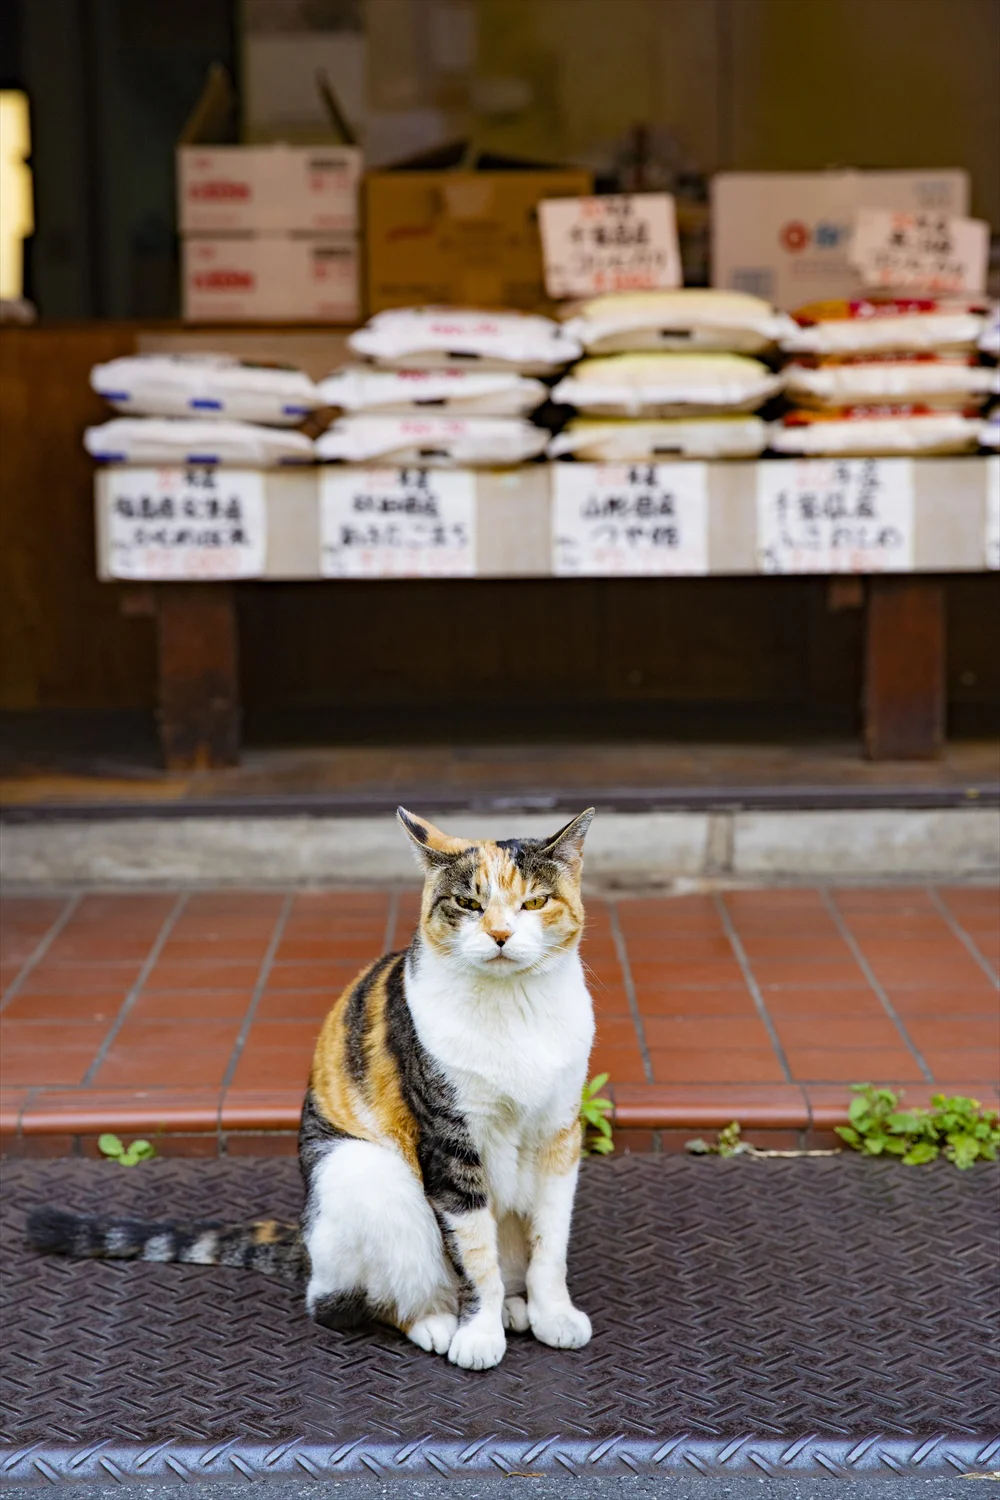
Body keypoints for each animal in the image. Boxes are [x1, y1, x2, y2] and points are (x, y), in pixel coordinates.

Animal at [27, 810, 599, 1374]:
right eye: (468, 903)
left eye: (535, 902)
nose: (500, 933)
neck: (514, 1007)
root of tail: (307, 1246)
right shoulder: (448, 1142)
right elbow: (474, 1253)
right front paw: (477, 1334)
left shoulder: (560, 1136)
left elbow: (551, 1244)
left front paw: (554, 1315)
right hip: (365, 1173)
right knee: (340, 1302)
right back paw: (436, 1321)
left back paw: (514, 1307)